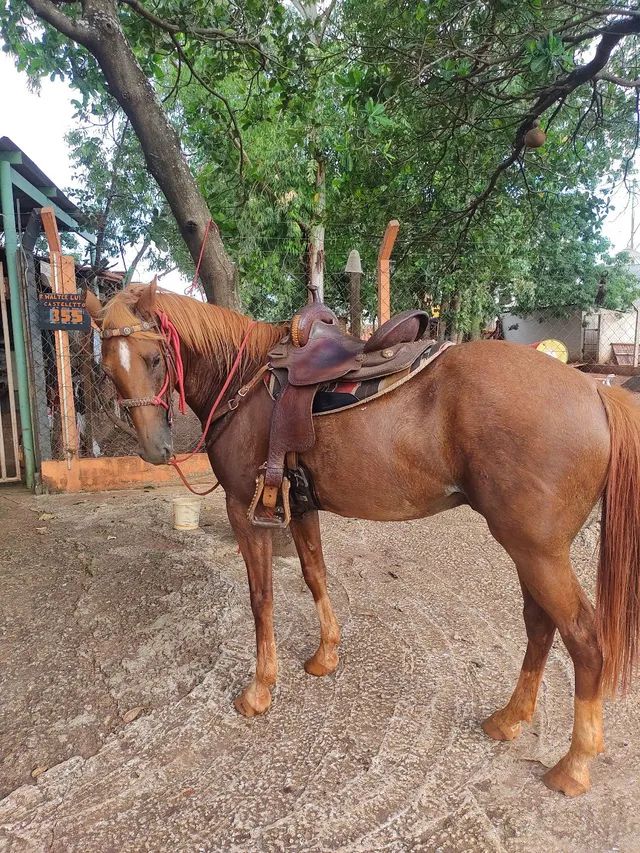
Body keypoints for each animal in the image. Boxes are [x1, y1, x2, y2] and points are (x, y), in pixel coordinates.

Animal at [87, 282, 640, 796]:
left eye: (154, 358)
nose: (155, 449)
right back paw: (509, 719)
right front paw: (325, 656)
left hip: (537, 551)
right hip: (532, 551)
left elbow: (261, 597)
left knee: (584, 639)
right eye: (107, 369)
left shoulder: (246, 510)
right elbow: (314, 574)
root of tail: (595, 393)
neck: (246, 381)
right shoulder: (301, 506)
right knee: (539, 625)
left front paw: (260, 689)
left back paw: (574, 764)